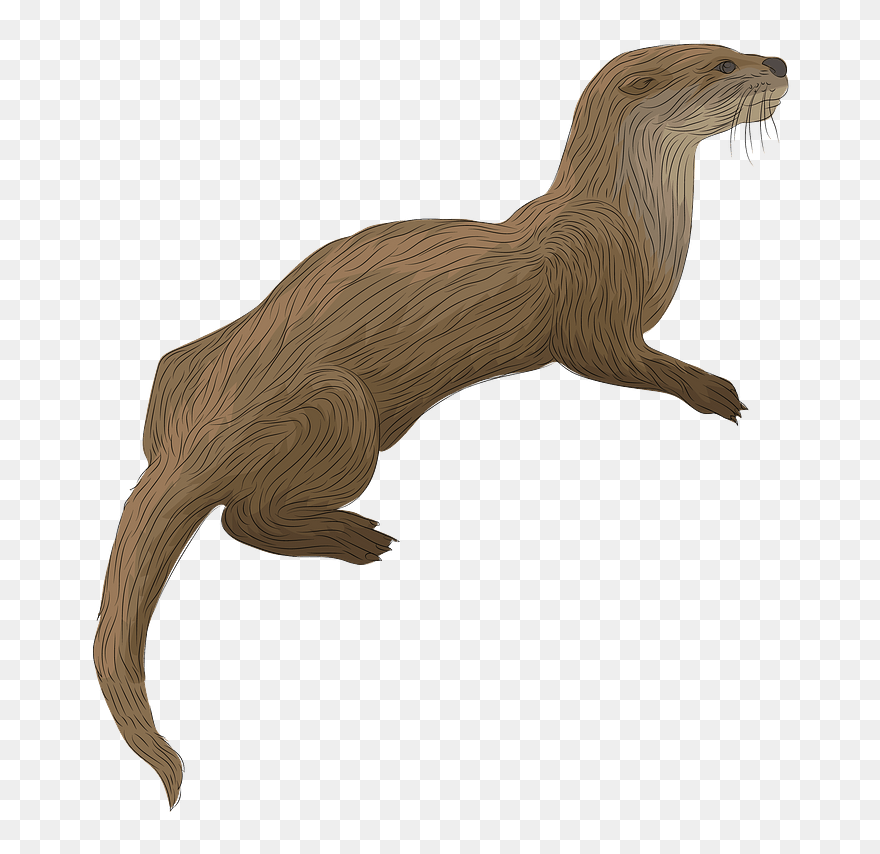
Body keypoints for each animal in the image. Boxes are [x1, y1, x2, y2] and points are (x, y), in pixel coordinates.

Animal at [94, 44, 788, 807]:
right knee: (244, 517)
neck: (632, 222)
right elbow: (619, 358)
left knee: (173, 373)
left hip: (192, 370)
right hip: (339, 411)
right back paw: (355, 537)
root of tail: (196, 433)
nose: (780, 62)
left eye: (738, 48)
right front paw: (713, 387)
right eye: (722, 65)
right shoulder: (592, 311)